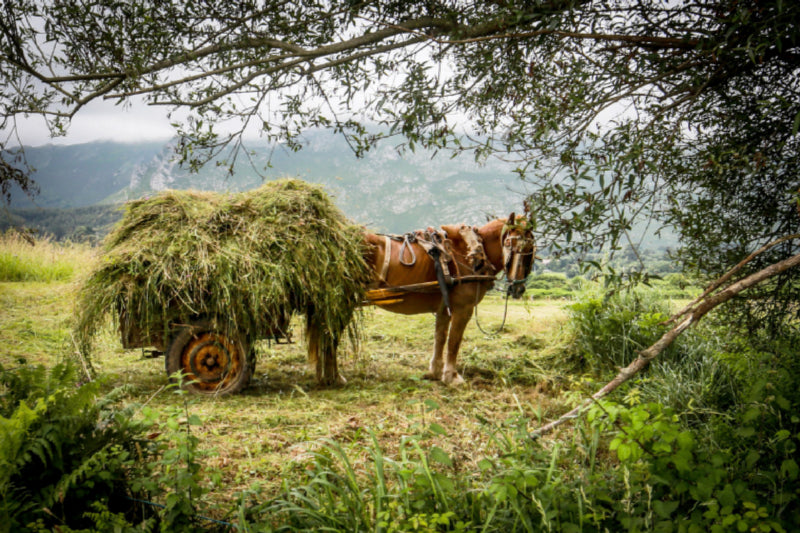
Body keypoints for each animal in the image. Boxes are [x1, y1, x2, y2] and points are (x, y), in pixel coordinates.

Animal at [364, 214, 536, 384]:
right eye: (509, 244)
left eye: (530, 250)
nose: (518, 289)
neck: (469, 253)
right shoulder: (463, 309)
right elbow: (454, 341)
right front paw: (451, 376)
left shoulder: (444, 309)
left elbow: (440, 337)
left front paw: (435, 372)